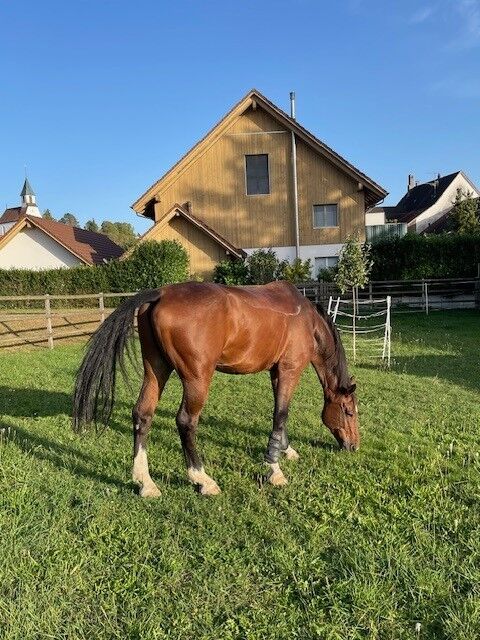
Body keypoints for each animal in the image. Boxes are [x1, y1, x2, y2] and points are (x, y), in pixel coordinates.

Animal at [73, 280, 358, 496]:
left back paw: (146, 482)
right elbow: (281, 415)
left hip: (156, 369)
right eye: (349, 412)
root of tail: (161, 293)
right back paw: (202, 479)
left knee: (142, 414)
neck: (306, 320)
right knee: (186, 421)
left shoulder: (276, 373)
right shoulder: (290, 371)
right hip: (197, 379)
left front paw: (286, 451)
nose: (354, 446)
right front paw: (274, 470)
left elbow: (280, 417)